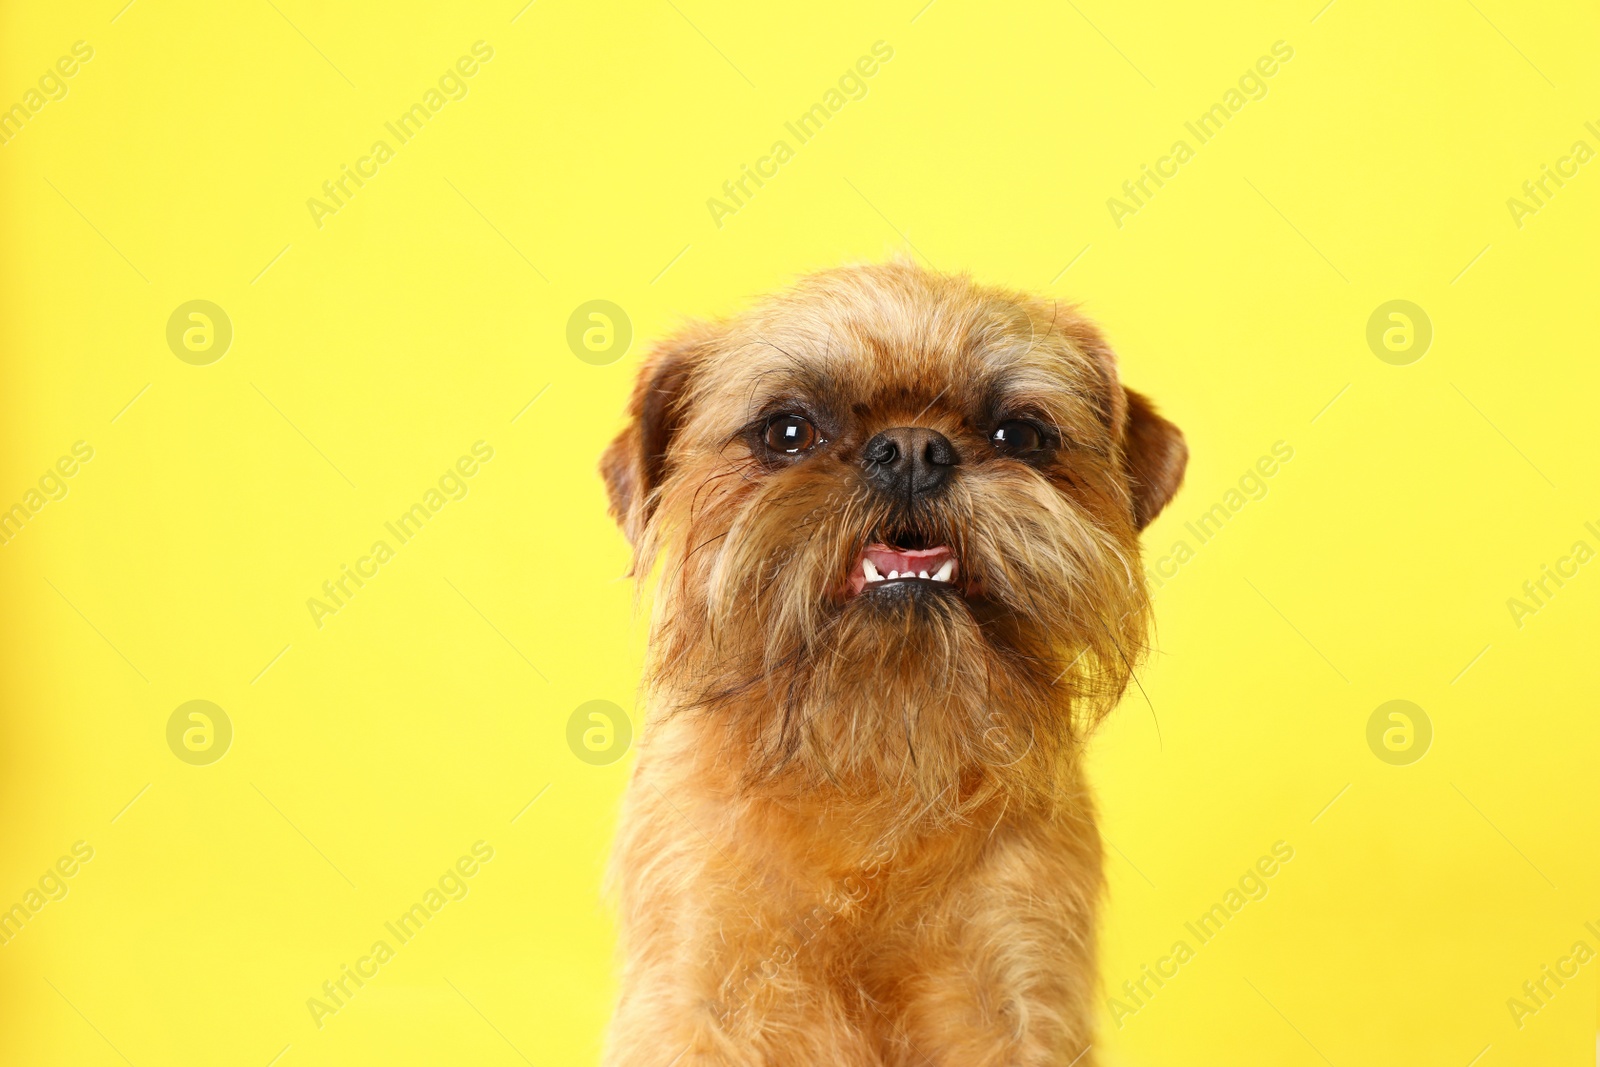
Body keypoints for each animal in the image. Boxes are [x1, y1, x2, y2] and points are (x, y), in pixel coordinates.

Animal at [601, 260, 1190, 1067]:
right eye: (788, 431)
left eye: (1019, 433)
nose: (912, 447)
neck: (871, 760)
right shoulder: (698, 993)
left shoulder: (1018, 991)